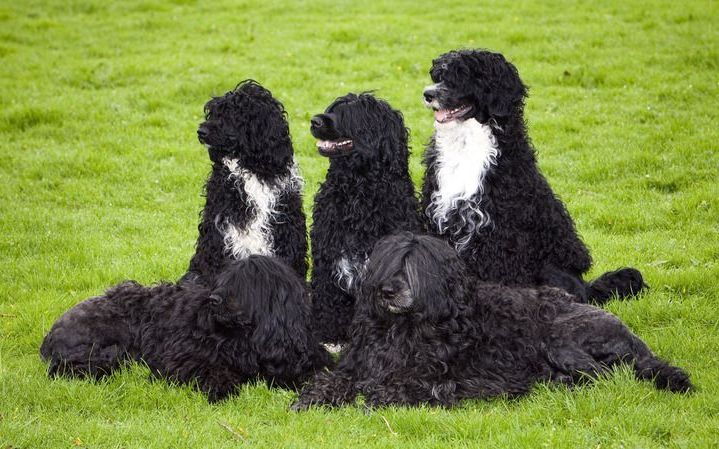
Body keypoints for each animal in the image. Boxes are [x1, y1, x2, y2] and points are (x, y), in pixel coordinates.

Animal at [40, 256, 328, 402]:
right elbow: (212, 371)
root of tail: (50, 335)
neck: (248, 338)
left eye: (245, 284)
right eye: (225, 280)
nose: (214, 299)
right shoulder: (184, 357)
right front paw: (222, 388)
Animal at [292, 231, 692, 410]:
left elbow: (416, 384)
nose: (388, 291)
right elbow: (336, 379)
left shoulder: (467, 377)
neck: (404, 328)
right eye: (388, 264)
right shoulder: (358, 363)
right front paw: (314, 395)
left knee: (603, 374)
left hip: (560, 340)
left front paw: (382, 393)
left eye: (414, 268)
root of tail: (632, 337)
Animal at [308, 92, 422, 344]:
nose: (314, 121)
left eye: (349, 115)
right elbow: (326, 300)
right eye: (332, 109)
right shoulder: (327, 257)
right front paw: (326, 333)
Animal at [422, 49, 648, 302]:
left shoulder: (501, 235)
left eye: (462, 75)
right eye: (438, 75)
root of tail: (585, 287)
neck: (466, 149)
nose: (428, 94)